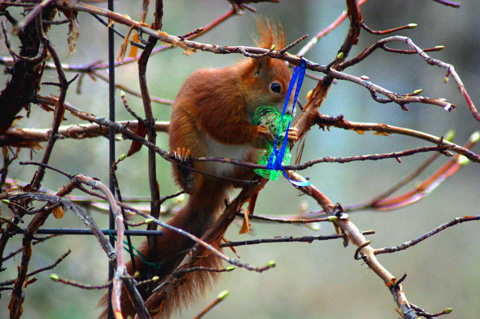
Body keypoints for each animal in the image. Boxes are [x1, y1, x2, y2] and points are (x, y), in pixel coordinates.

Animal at [101, 18, 294, 318]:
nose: (291, 111)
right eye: (276, 87)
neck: (243, 92)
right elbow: (226, 128)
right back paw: (187, 172)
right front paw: (263, 134)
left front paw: (289, 134)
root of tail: (213, 182)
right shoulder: (219, 101)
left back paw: (252, 175)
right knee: (191, 175)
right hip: (186, 133)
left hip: (241, 161)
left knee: (237, 180)